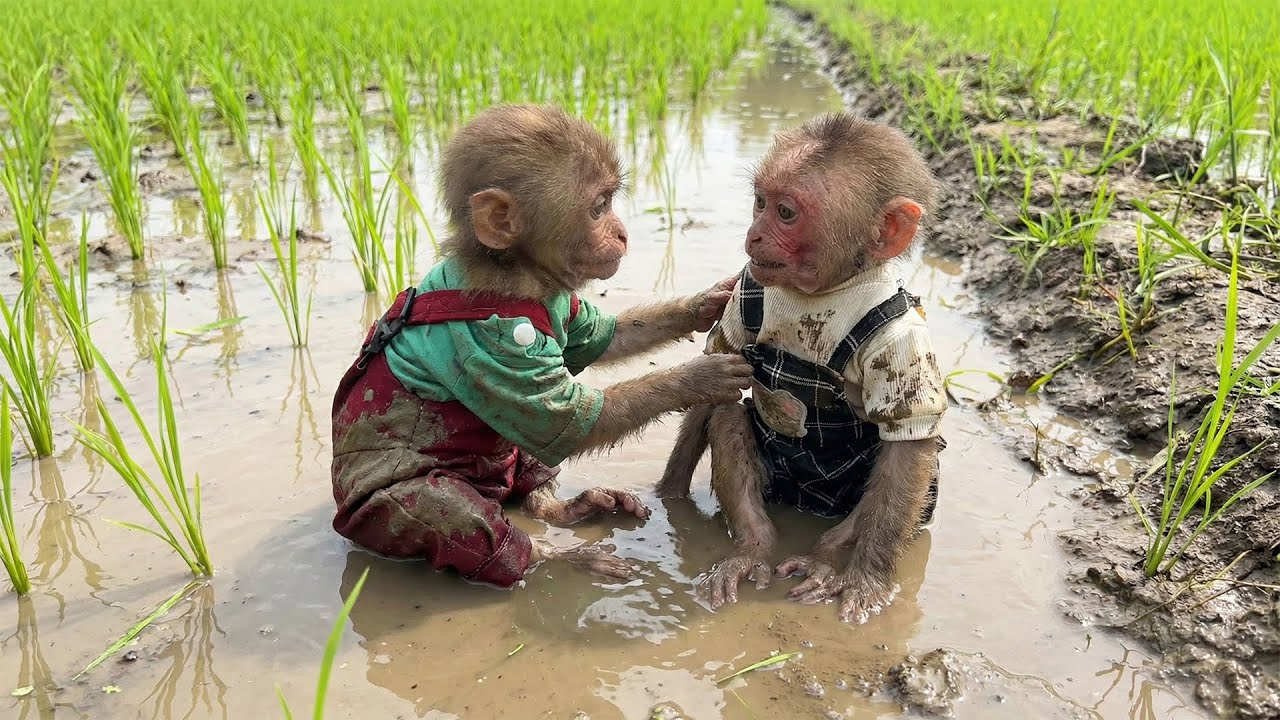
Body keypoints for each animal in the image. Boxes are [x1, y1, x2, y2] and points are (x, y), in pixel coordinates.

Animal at [330, 103, 754, 589]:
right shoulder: (494, 342)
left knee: (528, 471)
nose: (623, 233)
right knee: (444, 508)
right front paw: (700, 377)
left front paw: (709, 302)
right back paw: (555, 557)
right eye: (598, 208)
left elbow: (606, 337)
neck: (517, 271)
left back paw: (565, 507)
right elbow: (572, 419)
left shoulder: (560, 302)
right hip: (376, 517)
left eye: (610, 202)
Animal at [655, 112, 948, 624]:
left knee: (908, 473)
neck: (827, 293)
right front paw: (670, 498)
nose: (754, 234)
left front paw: (868, 582)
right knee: (727, 415)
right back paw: (753, 548)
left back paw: (827, 557)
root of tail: (806, 503)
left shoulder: (903, 342)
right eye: (759, 203)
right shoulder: (745, 288)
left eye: (786, 213)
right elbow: (718, 377)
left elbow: (908, 445)